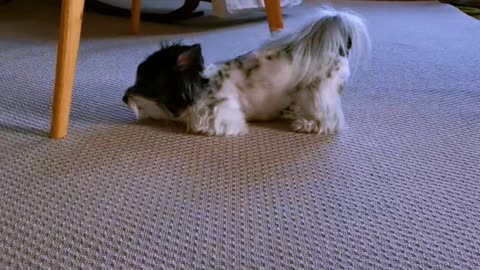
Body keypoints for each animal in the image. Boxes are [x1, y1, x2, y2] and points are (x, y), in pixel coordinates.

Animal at [122, 7, 370, 136]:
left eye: (144, 82)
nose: (124, 98)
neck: (203, 86)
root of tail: (340, 48)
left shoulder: (223, 116)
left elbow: (202, 124)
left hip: (317, 92)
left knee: (330, 120)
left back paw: (307, 124)